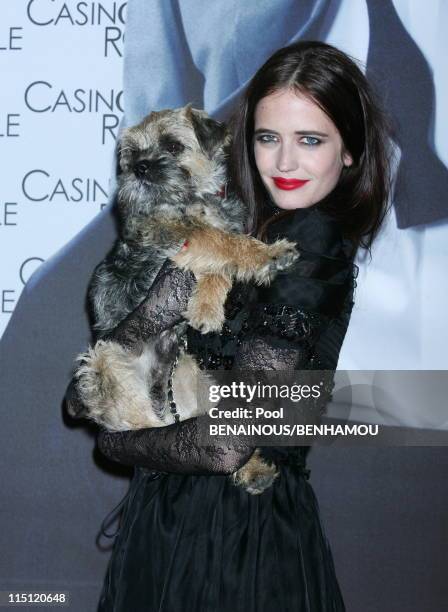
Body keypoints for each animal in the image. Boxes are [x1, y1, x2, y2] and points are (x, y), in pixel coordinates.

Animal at [68, 105, 300, 494]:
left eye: (173, 146)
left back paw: (253, 468)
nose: (139, 168)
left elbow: (219, 264)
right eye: (133, 154)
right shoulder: (177, 233)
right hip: (104, 358)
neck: (198, 199)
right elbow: (221, 241)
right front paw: (268, 255)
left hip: (194, 378)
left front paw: (206, 307)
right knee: (142, 428)